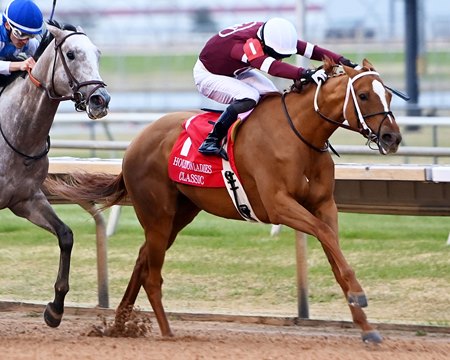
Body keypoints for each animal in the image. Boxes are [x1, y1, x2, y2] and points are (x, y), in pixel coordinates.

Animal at [0, 24, 110, 326]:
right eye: (71, 54)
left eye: (98, 53)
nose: (101, 99)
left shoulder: (26, 200)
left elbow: (66, 235)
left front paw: (55, 308)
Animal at [45, 59, 402, 344]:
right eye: (364, 95)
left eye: (387, 94)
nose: (392, 137)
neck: (300, 136)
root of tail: (135, 143)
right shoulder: (278, 206)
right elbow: (325, 236)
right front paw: (359, 296)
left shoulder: (325, 205)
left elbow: (334, 252)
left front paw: (366, 326)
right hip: (158, 214)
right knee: (151, 273)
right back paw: (166, 332)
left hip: (180, 214)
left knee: (143, 260)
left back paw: (120, 325)